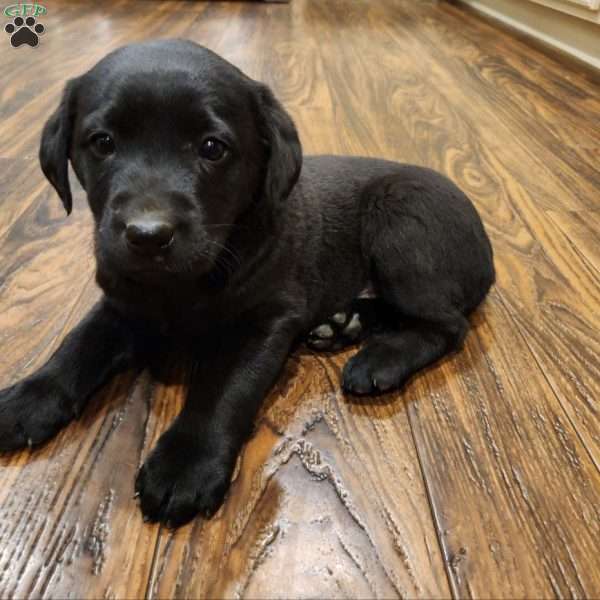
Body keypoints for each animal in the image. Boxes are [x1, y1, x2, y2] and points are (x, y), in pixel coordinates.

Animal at [0, 38, 494, 524]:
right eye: (102, 143)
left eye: (212, 148)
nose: (147, 235)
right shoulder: (122, 301)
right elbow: (78, 344)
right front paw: (29, 397)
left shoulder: (268, 320)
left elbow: (224, 389)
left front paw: (186, 464)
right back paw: (343, 324)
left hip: (401, 226)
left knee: (447, 325)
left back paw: (380, 359)